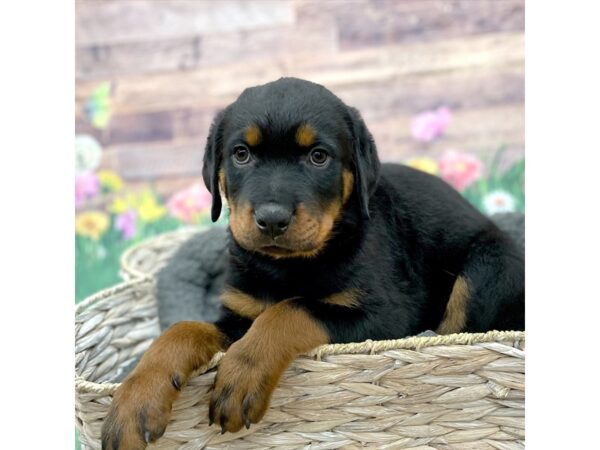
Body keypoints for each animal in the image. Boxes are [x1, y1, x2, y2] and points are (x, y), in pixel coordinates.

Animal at [101, 79, 524, 448]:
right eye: (241, 154)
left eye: (318, 157)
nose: (272, 219)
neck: (288, 266)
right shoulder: (239, 313)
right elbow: (184, 329)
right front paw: (134, 401)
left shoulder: (386, 316)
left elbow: (291, 309)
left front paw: (242, 375)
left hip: (487, 266)